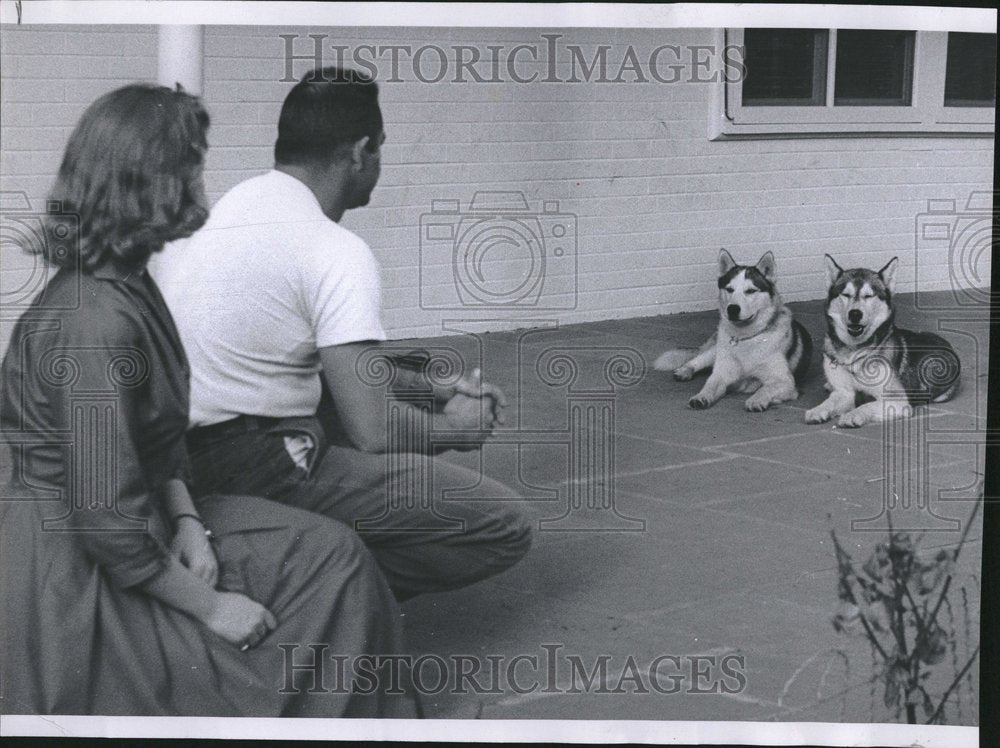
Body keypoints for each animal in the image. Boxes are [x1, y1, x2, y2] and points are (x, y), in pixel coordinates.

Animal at [656, 251, 812, 414]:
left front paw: (756, 400)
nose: (732, 309)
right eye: (729, 289)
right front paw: (701, 396)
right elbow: (710, 384)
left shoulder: (785, 382)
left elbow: (765, 389)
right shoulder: (721, 374)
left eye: (750, 291)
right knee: (696, 360)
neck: (745, 337)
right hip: (715, 351)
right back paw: (684, 371)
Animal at [804, 254, 960, 426]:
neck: (855, 352)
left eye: (868, 295)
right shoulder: (844, 393)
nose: (855, 314)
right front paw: (817, 410)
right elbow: (830, 402)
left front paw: (852, 415)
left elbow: (867, 405)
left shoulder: (897, 401)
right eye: (846, 294)